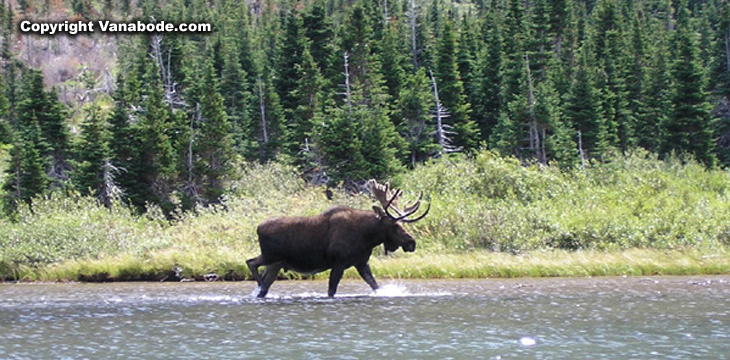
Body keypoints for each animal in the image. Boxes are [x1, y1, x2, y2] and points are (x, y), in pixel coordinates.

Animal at [246, 180, 426, 298]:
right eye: (394, 225)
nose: (411, 242)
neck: (367, 237)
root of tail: (258, 228)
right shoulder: (339, 263)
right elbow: (331, 290)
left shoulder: (361, 262)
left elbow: (375, 285)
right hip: (270, 256)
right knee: (251, 262)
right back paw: (258, 285)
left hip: (275, 264)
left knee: (263, 282)